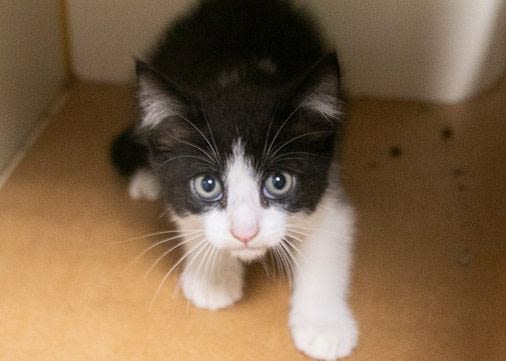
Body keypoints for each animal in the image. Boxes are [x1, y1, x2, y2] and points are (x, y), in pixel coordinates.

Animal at [112, 1, 358, 358]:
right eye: (208, 185)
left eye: (279, 182)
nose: (245, 233)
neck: (241, 79)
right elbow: (185, 214)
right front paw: (212, 277)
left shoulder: (328, 176)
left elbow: (330, 237)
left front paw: (324, 325)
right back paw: (147, 179)